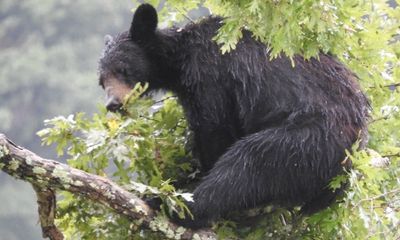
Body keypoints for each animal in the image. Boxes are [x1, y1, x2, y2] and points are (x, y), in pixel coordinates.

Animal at [97, 3, 368, 229]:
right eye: (102, 81)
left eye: (123, 69)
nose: (113, 104)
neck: (178, 59)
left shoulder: (209, 74)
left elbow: (215, 129)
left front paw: (188, 180)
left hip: (310, 139)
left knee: (247, 163)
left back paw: (181, 206)